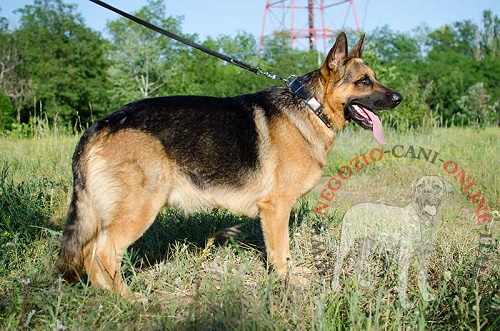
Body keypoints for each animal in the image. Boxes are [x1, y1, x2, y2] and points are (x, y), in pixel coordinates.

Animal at [57, 31, 402, 296]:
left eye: (374, 78)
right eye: (364, 81)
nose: (399, 98)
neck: (310, 106)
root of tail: (100, 125)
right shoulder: (276, 208)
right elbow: (282, 252)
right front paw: (287, 282)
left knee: (89, 255)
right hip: (139, 209)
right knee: (102, 255)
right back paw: (127, 300)